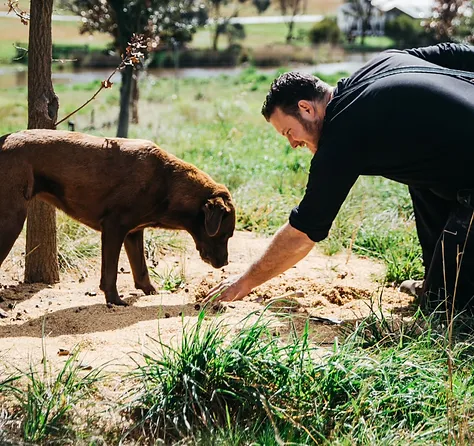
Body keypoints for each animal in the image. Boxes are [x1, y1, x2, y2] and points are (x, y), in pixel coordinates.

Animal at [0, 128, 236, 304]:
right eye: (225, 235)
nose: (225, 263)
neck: (168, 182)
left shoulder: (133, 232)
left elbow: (141, 270)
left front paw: (151, 292)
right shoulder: (114, 228)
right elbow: (111, 272)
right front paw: (114, 300)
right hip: (11, 220)